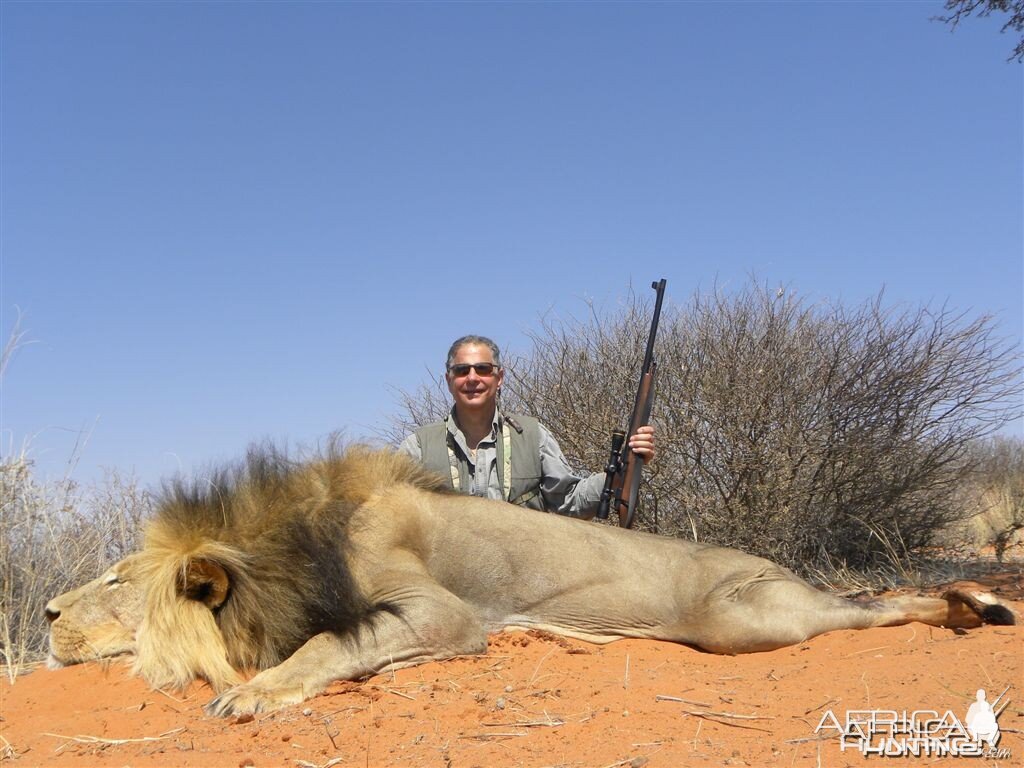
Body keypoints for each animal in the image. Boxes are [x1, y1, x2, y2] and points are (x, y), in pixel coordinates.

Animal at [41, 442, 1015, 720]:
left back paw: (971, 604)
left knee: (863, 605)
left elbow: (327, 643)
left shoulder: (444, 613)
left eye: (117, 580)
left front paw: (252, 693)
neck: (287, 549)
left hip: (747, 618)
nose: (45, 611)